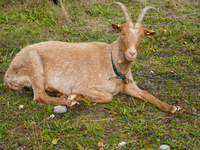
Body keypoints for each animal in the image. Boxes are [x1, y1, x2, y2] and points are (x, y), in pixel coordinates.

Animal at [3, 2, 180, 113]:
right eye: (122, 33)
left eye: (143, 35)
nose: (131, 53)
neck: (111, 61)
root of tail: (7, 75)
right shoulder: (85, 85)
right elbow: (108, 97)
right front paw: (75, 96)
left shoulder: (127, 85)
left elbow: (146, 93)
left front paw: (172, 108)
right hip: (33, 62)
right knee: (39, 96)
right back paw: (68, 101)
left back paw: (60, 94)